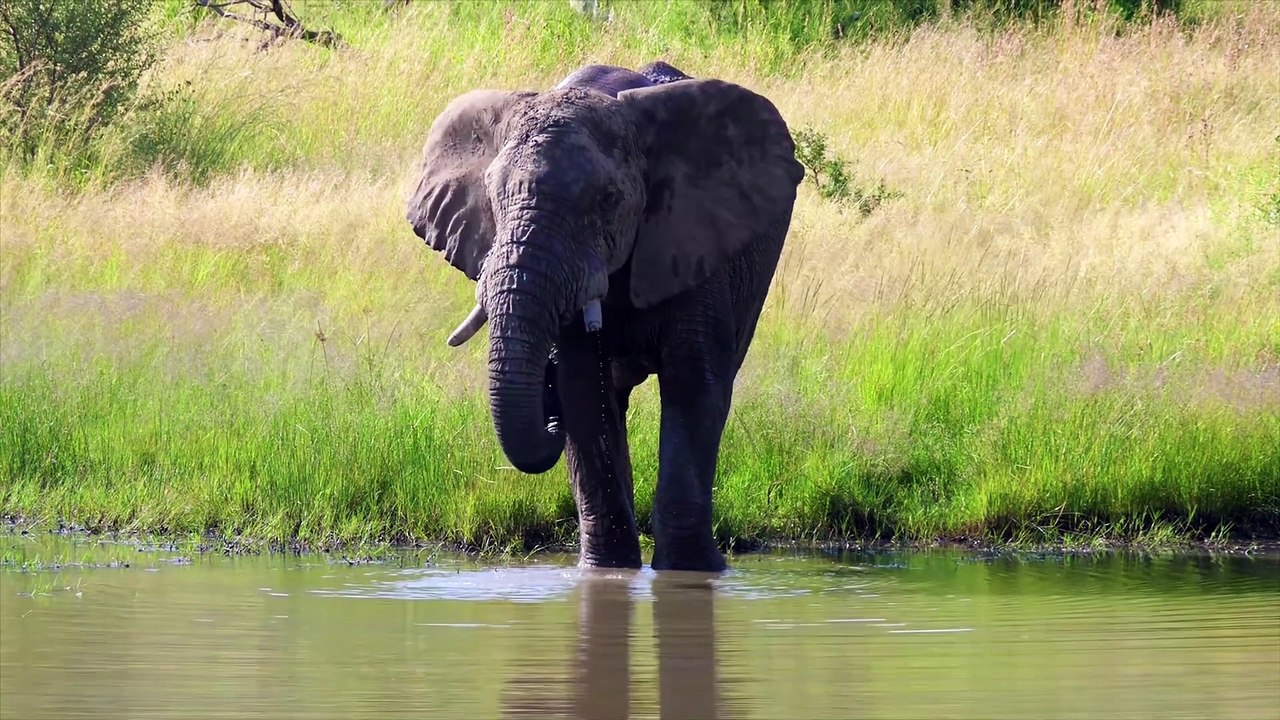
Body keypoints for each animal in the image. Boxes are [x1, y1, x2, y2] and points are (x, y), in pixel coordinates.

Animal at [405, 60, 803, 572]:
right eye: (492, 196)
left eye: (608, 200)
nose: (547, 414)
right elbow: (582, 390)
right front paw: (607, 572)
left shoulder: (695, 240)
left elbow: (694, 385)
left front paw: (692, 571)